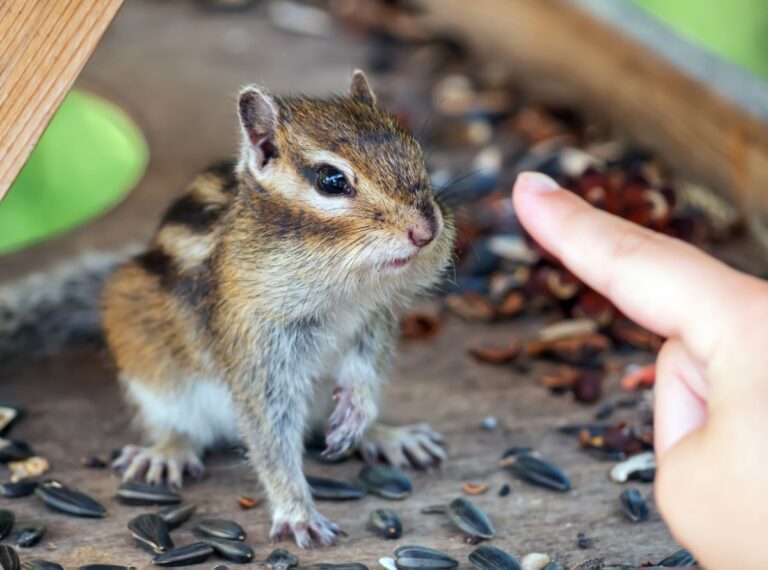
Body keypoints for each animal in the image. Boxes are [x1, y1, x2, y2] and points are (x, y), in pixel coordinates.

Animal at [100, 70, 455, 547]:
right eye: (331, 180)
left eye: (413, 149)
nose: (426, 230)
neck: (343, 289)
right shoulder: (257, 343)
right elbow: (271, 435)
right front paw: (297, 511)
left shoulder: (373, 318)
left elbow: (367, 368)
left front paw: (360, 412)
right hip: (152, 367)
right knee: (178, 426)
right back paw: (166, 452)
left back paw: (387, 435)